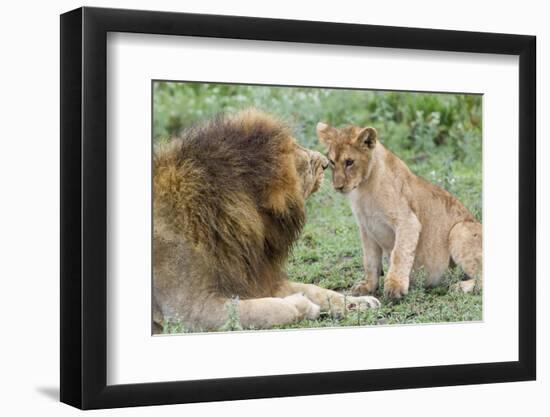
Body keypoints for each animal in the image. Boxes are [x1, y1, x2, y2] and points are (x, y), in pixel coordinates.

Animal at [153, 109, 382, 334]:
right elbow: (266, 309)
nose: (326, 164)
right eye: (300, 156)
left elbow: (315, 289)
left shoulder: (255, 278)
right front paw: (303, 305)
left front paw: (358, 302)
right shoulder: (190, 309)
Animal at [320, 120, 484, 300]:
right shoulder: (366, 228)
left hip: (459, 229)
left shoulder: (407, 221)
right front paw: (368, 287)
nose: (338, 187)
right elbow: (369, 260)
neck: (363, 189)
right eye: (332, 162)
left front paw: (395, 288)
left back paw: (459, 287)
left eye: (349, 162)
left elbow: (399, 253)